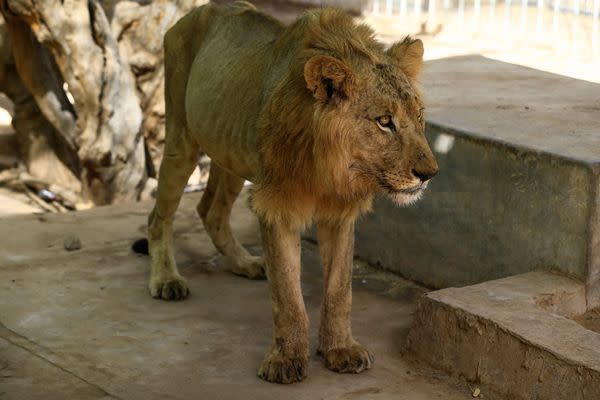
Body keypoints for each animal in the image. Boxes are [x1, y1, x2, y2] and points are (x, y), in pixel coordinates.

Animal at [145, 0, 436, 384]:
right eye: (384, 121)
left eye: (419, 116)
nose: (430, 174)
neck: (331, 169)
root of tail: (195, 13)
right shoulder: (276, 205)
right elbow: (287, 295)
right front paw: (286, 360)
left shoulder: (339, 213)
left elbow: (340, 291)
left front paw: (340, 349)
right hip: (182, 139)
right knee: (158, 215)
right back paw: (166, 279)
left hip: (234, 155)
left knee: (210, 210)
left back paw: (245, 263)